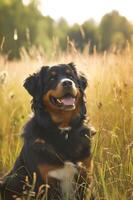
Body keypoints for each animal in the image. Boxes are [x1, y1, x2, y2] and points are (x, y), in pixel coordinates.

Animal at [0, 62, 95, 198]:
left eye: (70, 76)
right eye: (51, 78)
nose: (67, 83)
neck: (64, 131)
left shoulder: (84, 176)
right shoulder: (45, 182)